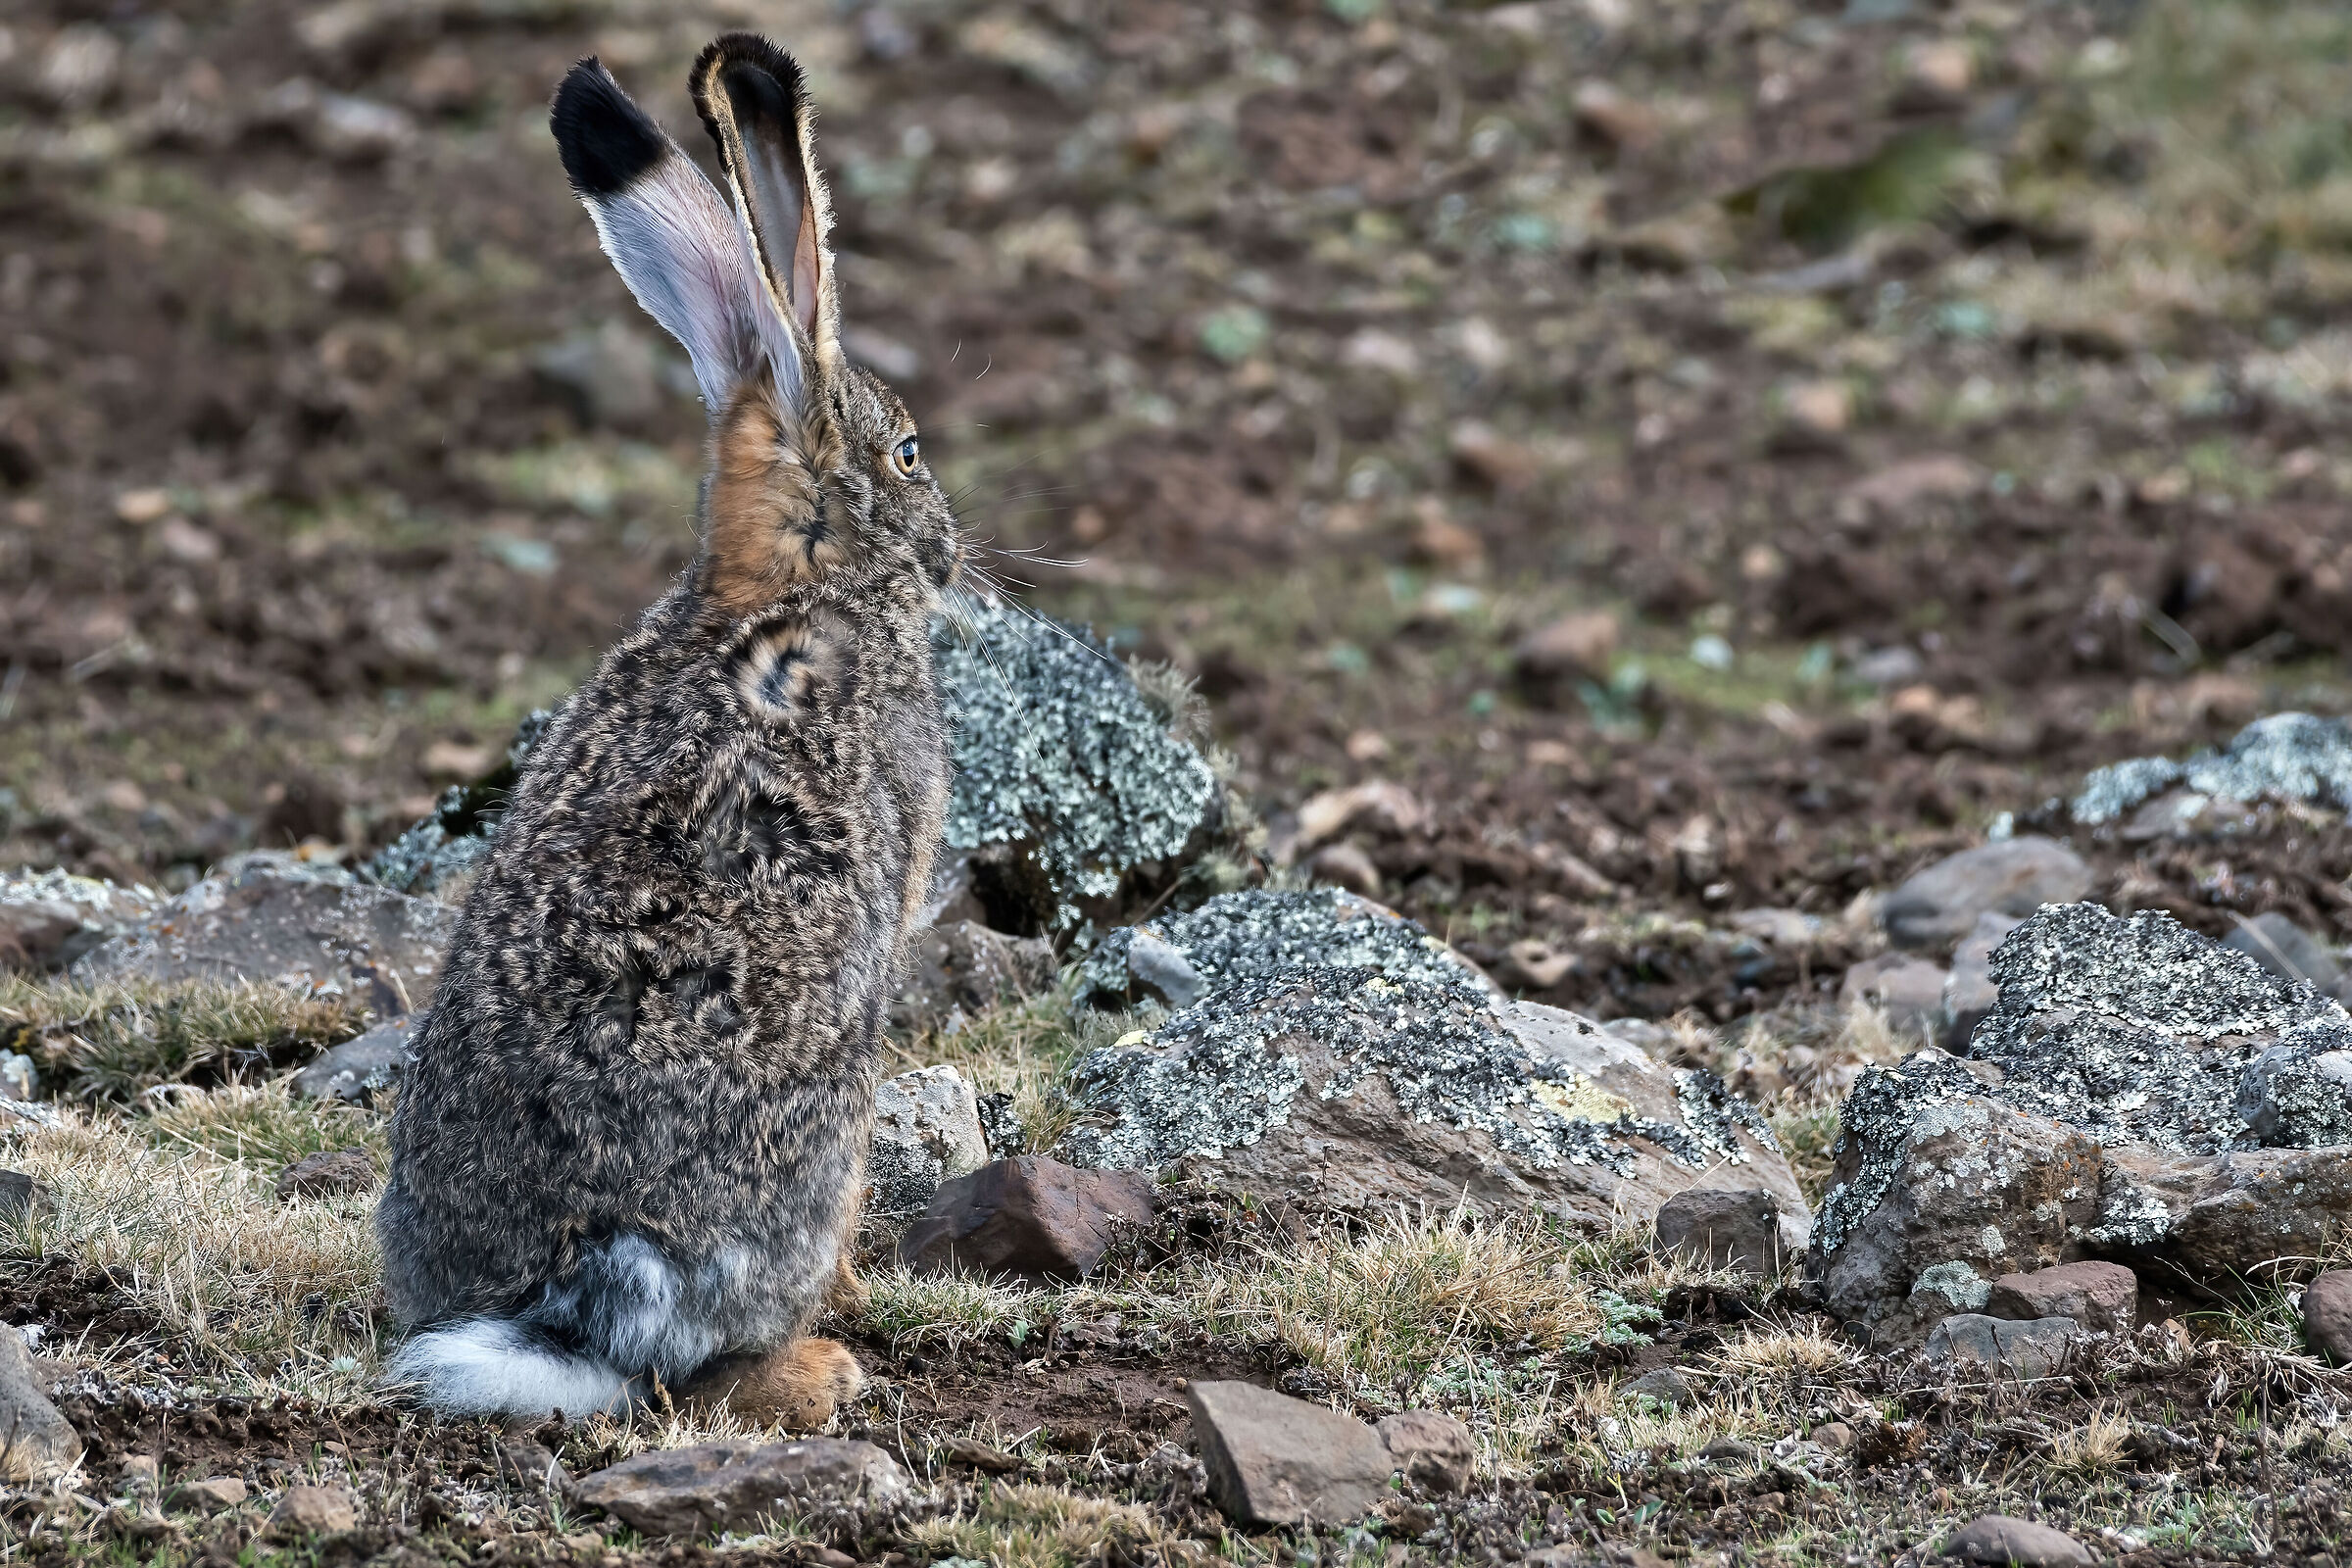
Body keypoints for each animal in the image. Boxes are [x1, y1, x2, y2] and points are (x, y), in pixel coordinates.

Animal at [374, 33, 959, 1425]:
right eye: (911, 451)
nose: (954, 552)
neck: (783, 585)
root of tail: (584, 1280)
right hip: (821, 1120)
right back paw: (822, 1356)